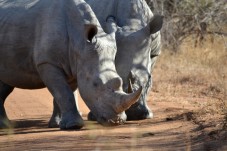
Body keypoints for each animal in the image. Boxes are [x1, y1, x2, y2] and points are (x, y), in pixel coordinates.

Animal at [0, 0, 142, 130]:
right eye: (95, 84)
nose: (117, 121)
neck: (79, 40)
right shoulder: (47, 62)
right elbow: (63, 93)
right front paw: (74, 125)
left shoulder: (76, 65)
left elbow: (63, 93)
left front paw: (57, 124)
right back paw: (5, 127)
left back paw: (5, 126)